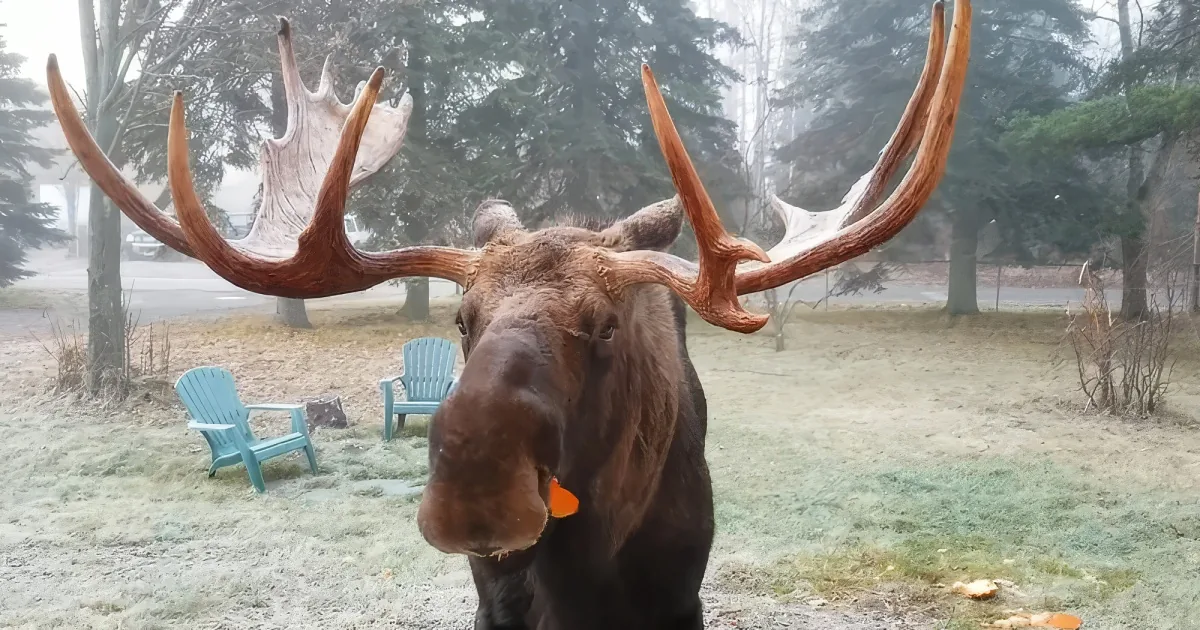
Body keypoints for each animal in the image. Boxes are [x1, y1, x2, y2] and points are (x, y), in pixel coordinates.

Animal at [45, 1, 970, 627]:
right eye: (462, 317)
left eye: (606, 326)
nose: (473, 487)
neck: (585, 571)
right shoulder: (495, 603)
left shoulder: (680, 598)